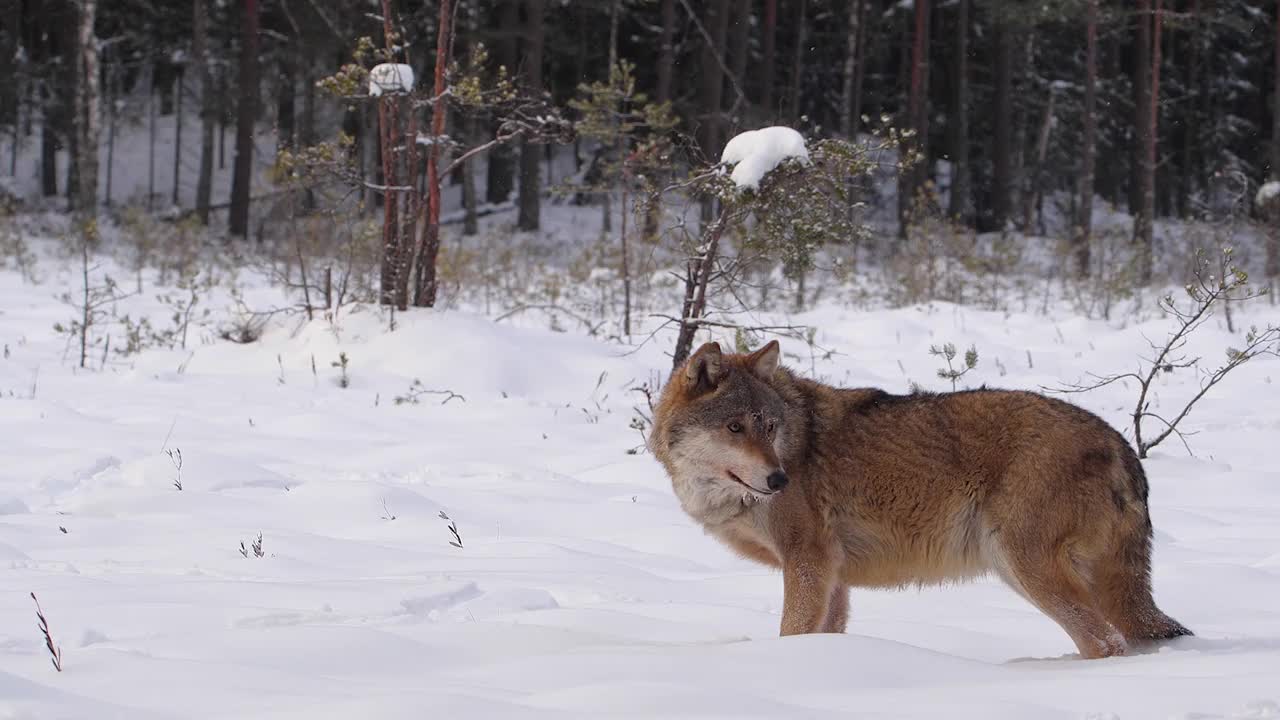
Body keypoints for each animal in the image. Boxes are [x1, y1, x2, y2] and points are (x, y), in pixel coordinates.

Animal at [650, 338, 1187, 661]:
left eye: (768, 426)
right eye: (735, 427)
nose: (779, 479)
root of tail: (1120, 443)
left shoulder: (807, 562)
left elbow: (792, 633)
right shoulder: (832, 573)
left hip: (1022, 565)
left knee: (1107, 641)